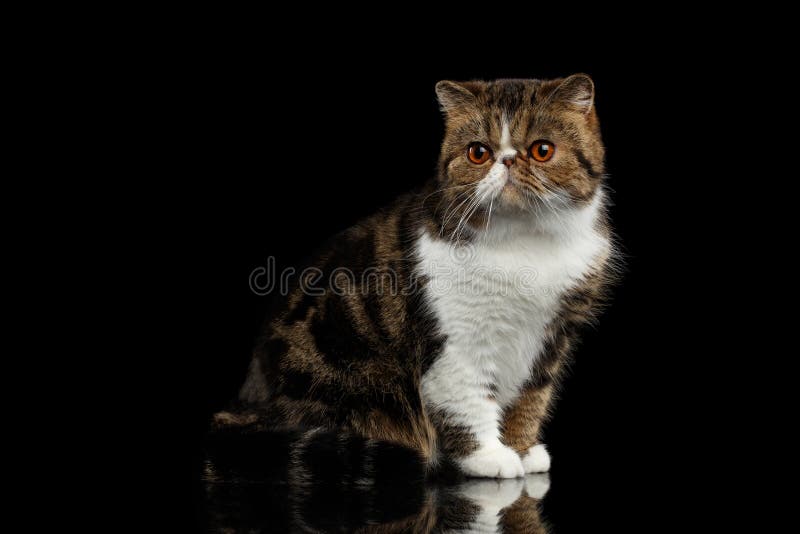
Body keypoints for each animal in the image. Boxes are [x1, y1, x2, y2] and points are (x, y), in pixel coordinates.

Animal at [205, 74, 612, 486]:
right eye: (478, 153)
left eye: (543, 150)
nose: (508, 159)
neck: (524, 241)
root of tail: (243, 408)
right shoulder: (457, 340)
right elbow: (467, 400)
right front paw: (489, 456)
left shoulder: (551, 337)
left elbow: (532, 398)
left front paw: (523, 449)